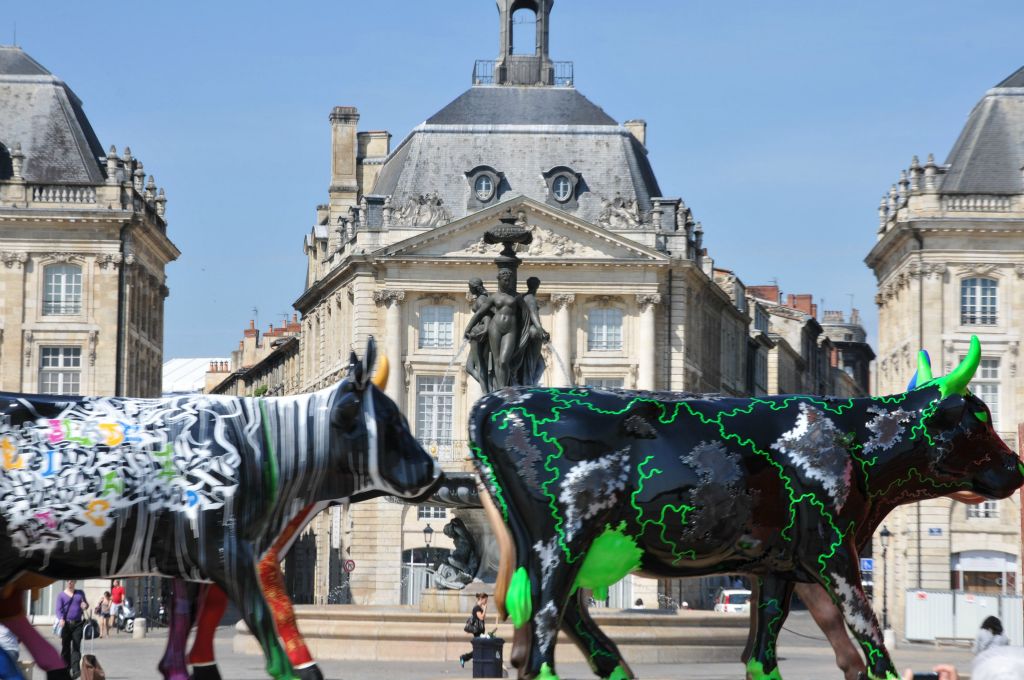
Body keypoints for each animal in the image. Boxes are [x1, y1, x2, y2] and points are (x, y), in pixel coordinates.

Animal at [0, 340, 440, 680]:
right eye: (389, 419)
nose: (432, 471)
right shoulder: (226, 551)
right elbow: (263, 616)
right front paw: (294, 669)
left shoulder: (199, 558)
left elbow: (193, 621)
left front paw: (195, 666)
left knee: (10, 609)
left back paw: (54, 665)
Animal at [471, 335, 1024, 680]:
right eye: (979, 416)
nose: (1017, 466)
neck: (851, 438)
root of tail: (495, 400)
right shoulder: (834, 553)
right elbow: (868, 631)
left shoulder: (777, 564)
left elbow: (763, 649)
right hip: (561, 540)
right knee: (544, 632)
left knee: (566, 619)